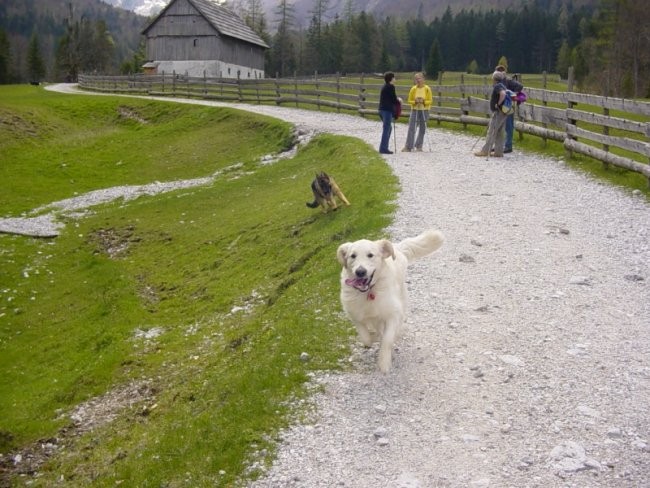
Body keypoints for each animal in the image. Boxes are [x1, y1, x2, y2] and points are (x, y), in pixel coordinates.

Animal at [336, 231, 442, 372]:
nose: (360, 272)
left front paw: (384, 362)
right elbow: (366, 338)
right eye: (352, 256)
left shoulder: (392, 314)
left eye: (370, 255)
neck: (369, 292)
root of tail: (397, 247)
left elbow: (387, 339)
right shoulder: (355, 315)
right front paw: (373, 338)